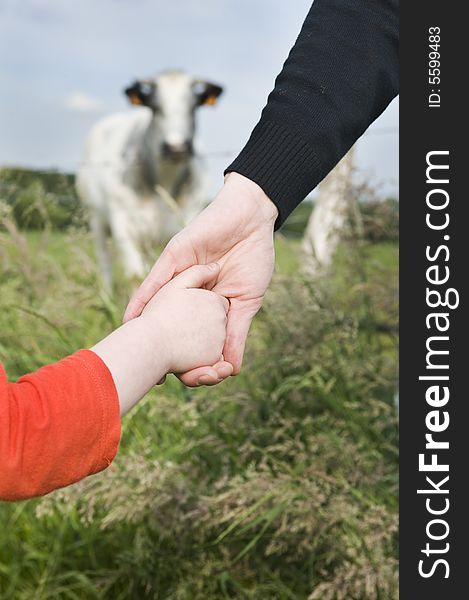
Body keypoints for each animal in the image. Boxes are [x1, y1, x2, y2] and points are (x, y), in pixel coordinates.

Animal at [76, 70, 223, 290]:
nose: (176, 147)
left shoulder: (185, 219)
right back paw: (107, 293)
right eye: (155, 107)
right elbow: (136, 275)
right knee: (104, 260)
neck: (165, 180)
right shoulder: (123, 225)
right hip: (96, 217)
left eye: (193, 107)